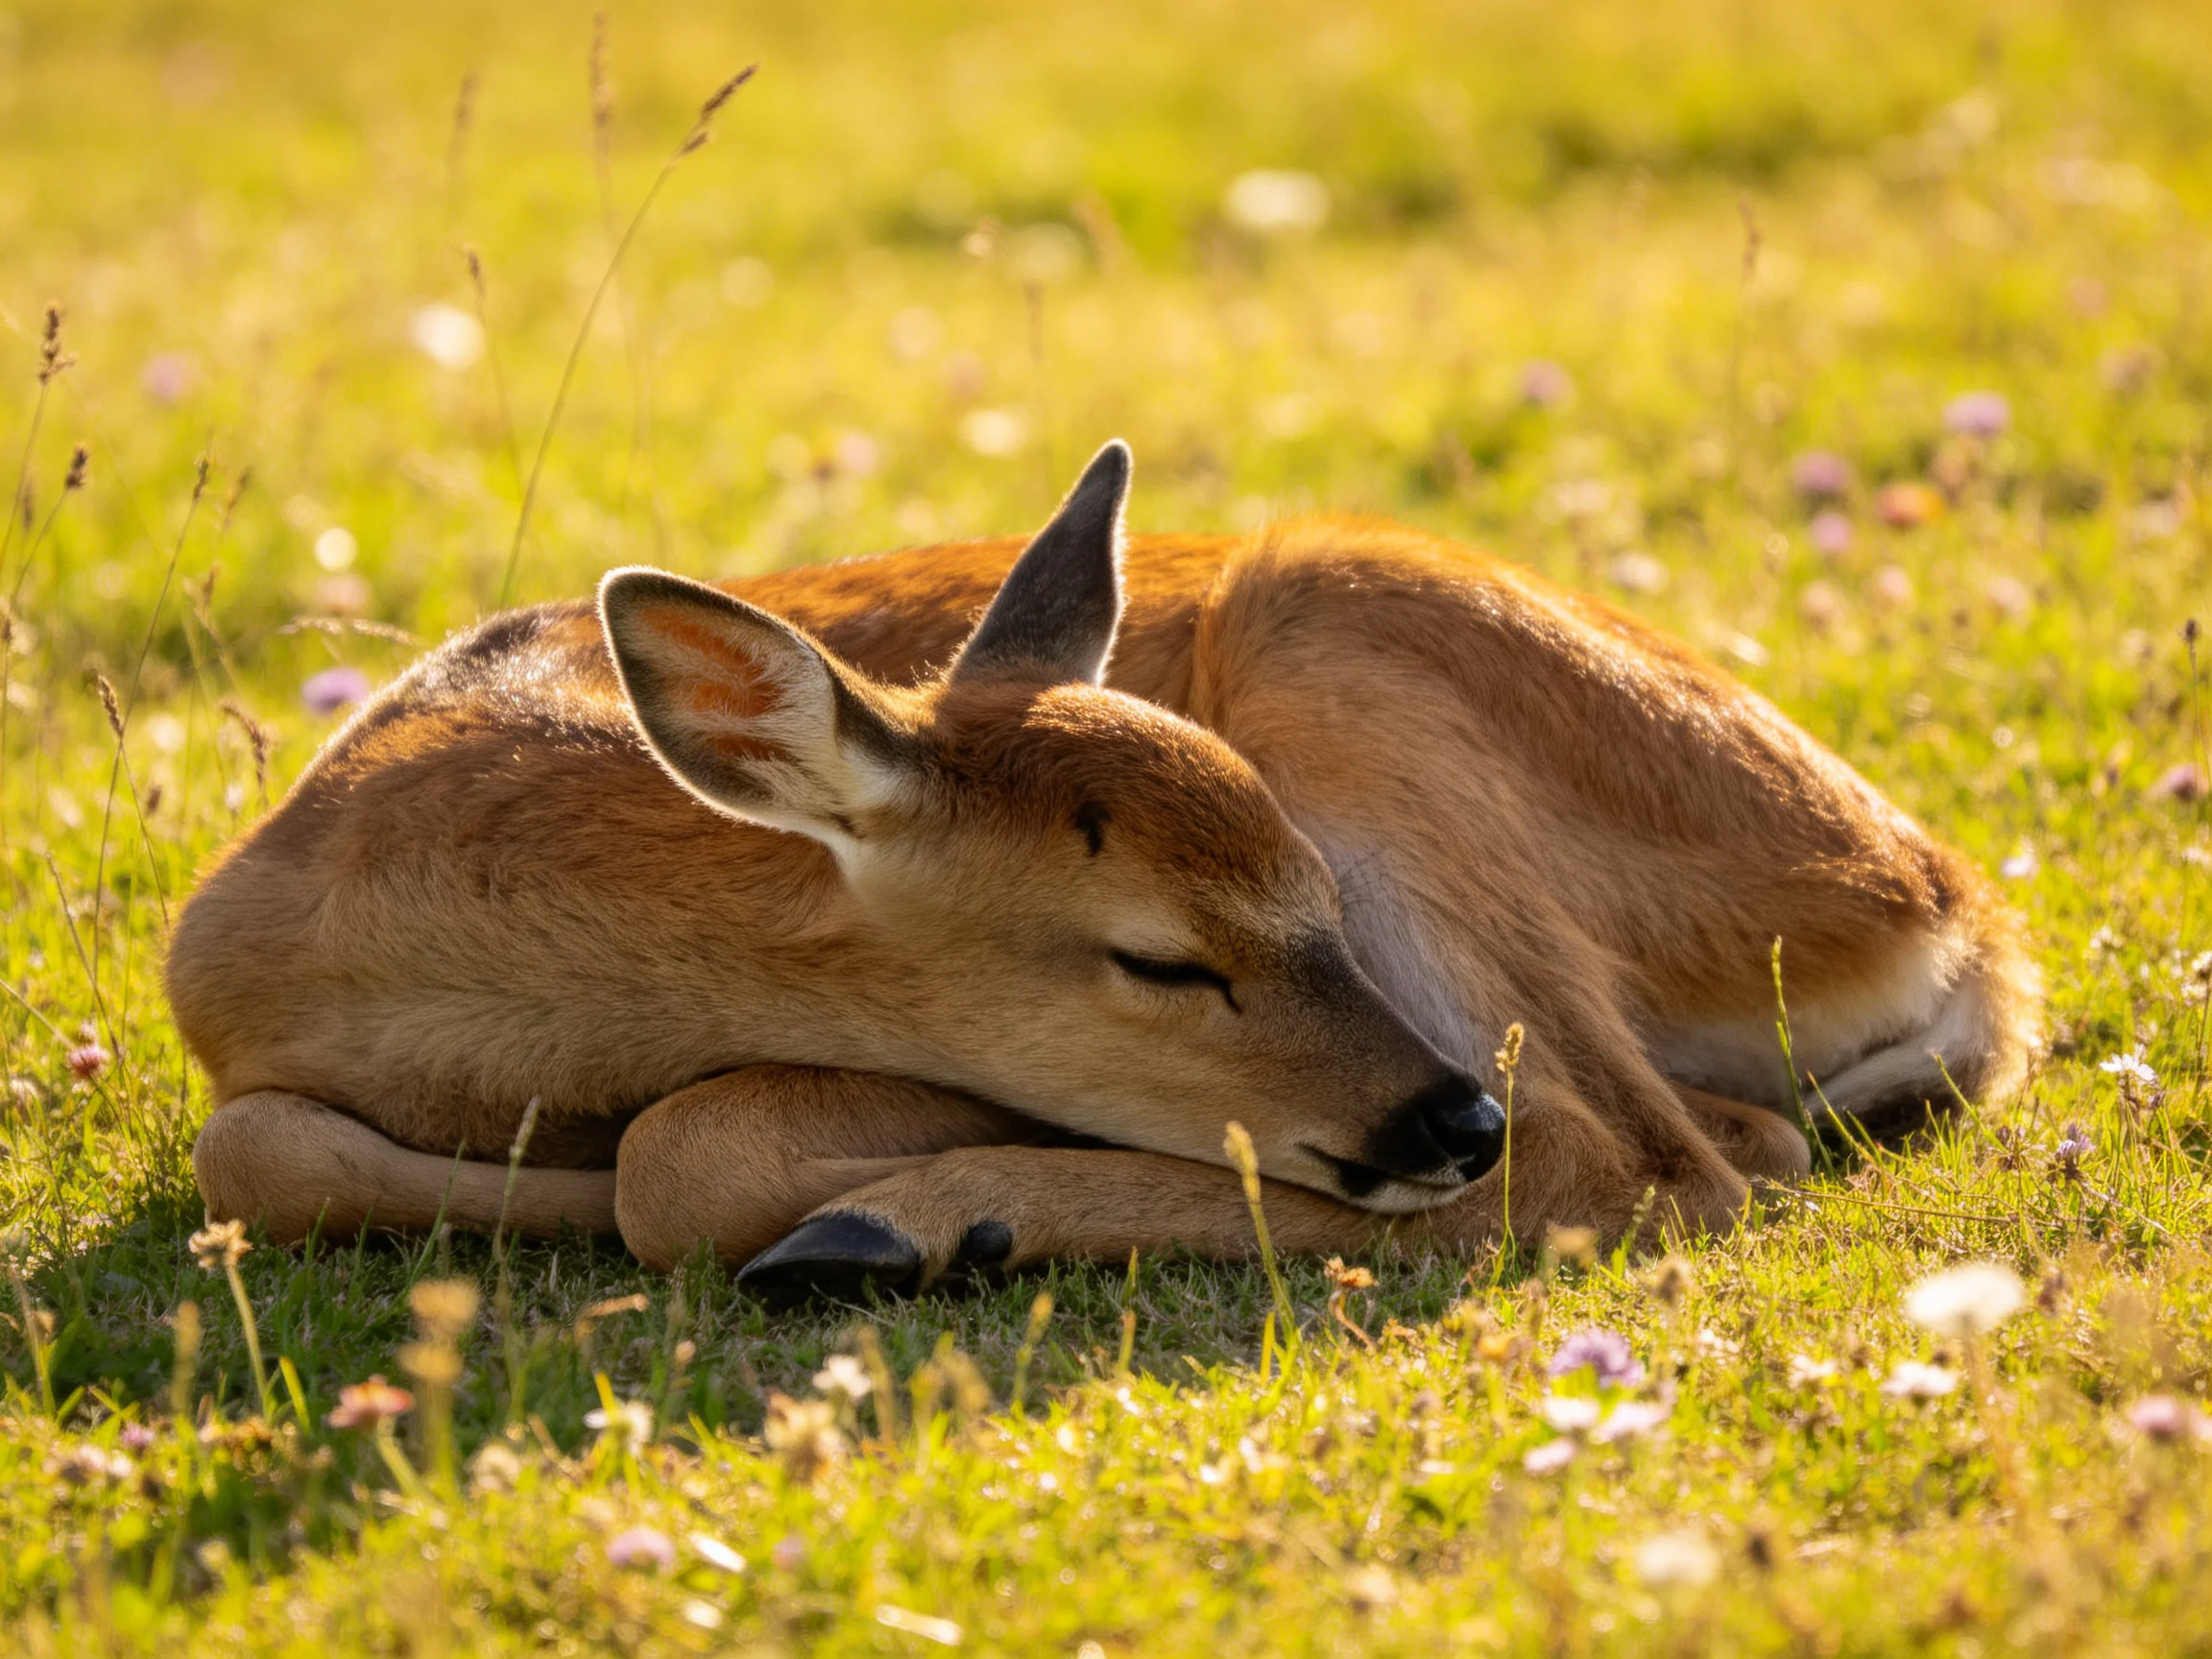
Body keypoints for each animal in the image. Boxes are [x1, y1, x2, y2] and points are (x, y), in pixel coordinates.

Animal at [169, 440, 2038, 1300]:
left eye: (1309, 894)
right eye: (1156, 955)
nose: (1445, 1117)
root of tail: (1956, 915)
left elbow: (677, 1152)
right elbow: (253, 1146)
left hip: (1341, 648)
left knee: (1653, 1156)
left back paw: (903, 1223)